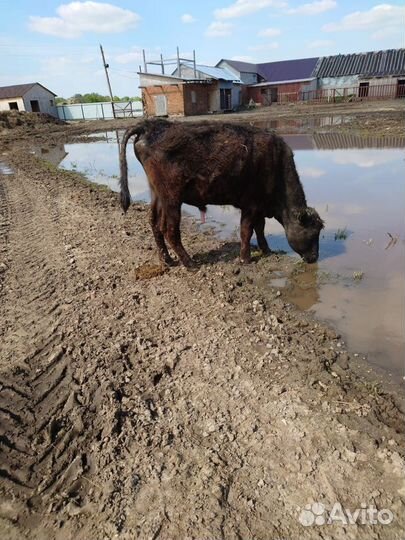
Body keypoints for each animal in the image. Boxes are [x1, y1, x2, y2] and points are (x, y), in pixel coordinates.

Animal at [118, 120, 324, 268]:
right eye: (313, 233)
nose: (315, 257)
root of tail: (150, 125)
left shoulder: (259, 206)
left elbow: (260, 228)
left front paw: (267, 250)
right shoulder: (250, 205)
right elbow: (246, 230)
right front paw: (245, 259)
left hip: (157, 195)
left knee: (154, 223)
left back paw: (167, 260)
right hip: (172, 198)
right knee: (170, 230)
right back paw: (190, 263)